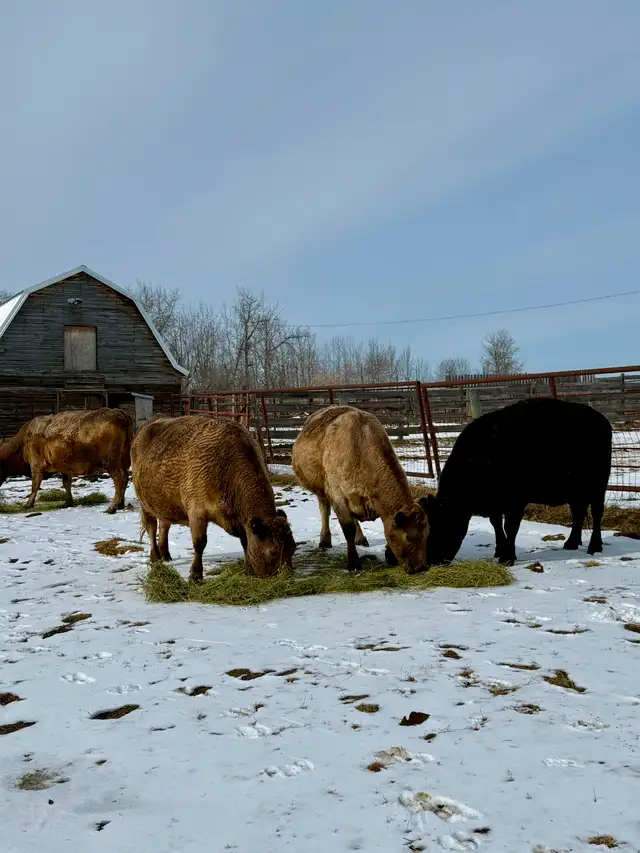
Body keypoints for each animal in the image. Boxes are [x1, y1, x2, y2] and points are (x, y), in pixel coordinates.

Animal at [0, 408, 133, 513]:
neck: (21, 443)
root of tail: (118, 413)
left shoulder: (36, 466)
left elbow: (35, 486)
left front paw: (28, 504)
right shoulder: (64, 468)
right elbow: (66, 484)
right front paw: (68, 502)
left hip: (110, 462)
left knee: (119, 478)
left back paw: (112, 507)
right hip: (123, 460)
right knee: (125, 477)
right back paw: (120, 504)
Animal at [130, 415, 296, 581]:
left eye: (293, 548)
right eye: (272, 552)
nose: (288, 577)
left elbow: (245, 542)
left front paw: (248, 567)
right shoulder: (196, 513)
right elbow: (199, 543)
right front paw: (195, 575)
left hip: (165, 505)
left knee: (164, 525)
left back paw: (165, 554)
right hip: (145, 504)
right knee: (152, 528)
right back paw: (155, 557)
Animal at [291, 405, 430, 573]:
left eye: (427, 534)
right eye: (408, 537)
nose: (421, 567)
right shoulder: (337, 495)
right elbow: (348, 528)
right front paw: (353, 562)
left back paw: (360, 538)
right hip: (321, 488)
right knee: (324, 510)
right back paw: (325, 540)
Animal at [425, 397, 613, 567]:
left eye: (441, 526)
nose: (431, 561)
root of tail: (601, 418)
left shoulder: (516, 501)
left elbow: (510, 526)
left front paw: (507, 557)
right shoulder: (495, 503)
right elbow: (496, 524)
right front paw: (499, 550)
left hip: (598, 485)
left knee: (596, 513)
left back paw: (595, 547)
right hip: (575, 490)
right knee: (578, 512)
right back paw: (572, 543)